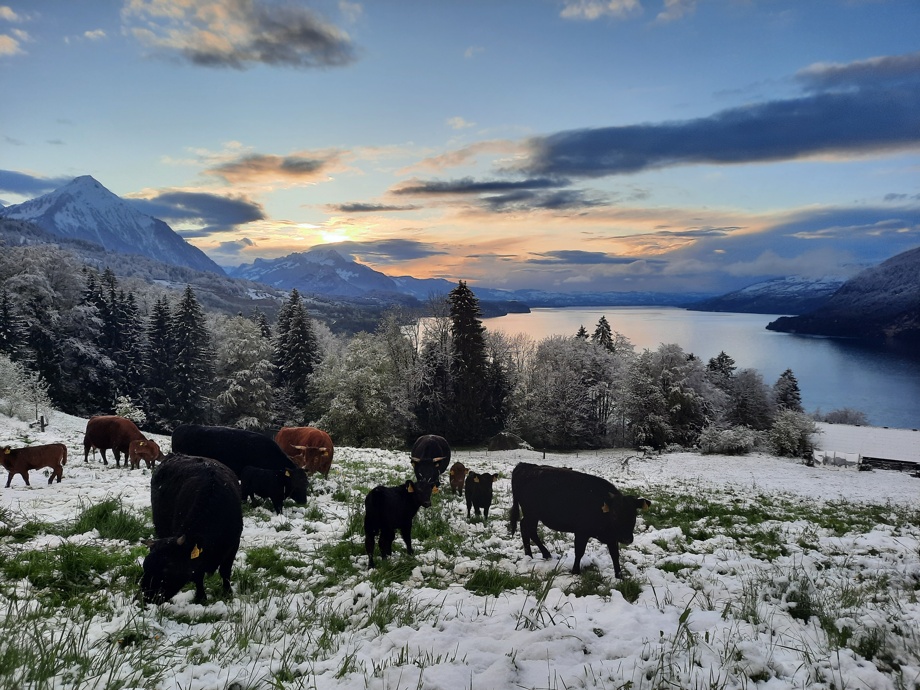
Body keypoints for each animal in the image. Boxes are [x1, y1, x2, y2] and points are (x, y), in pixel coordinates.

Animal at [141, 452, 244, 600]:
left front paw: (227, 592)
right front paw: (201, 597)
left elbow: (225, 571)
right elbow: (197, 575)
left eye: (167, 568)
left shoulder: (233, 544)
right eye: (145, 565)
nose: (147, 597)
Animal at [506, 462, 652, 576]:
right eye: (615, 514)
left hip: (532, 515)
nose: (626, 539)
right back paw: (543, 554)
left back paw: (530, 555)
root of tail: (525, 466)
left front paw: (619, 576)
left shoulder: (612, 537)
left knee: (524, 527)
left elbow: (615, 555)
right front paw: (575, 572)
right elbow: (579, 552)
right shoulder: (581, 532)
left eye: (634, 514)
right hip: (531, 514)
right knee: (529, 530)